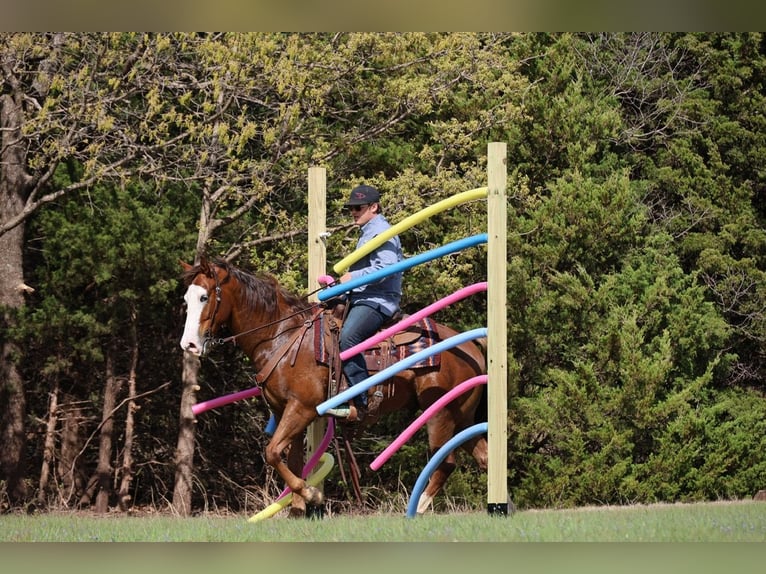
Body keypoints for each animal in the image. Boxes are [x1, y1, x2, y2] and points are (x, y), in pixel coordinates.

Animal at [179, 257, 488, 517]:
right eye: (186, 299)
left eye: (205, 297)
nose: (189, 344)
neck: (282, 336)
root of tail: (470, 343)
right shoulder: (285, 411)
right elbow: (292, 460)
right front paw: (298, 510)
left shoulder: (301, 409)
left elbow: (272, 452)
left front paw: (312, 495)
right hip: (462, 416)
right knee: (483, 456)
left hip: (440, 413)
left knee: (446, 462)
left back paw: (419, 507)